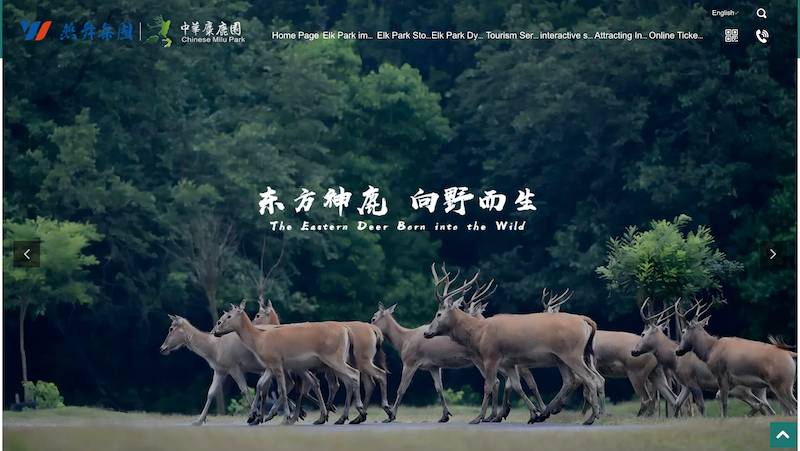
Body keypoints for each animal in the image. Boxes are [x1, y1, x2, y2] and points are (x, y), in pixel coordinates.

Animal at [211, 300, 367, 425]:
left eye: (229, 316)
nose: (216, 329)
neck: (259, 340)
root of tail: (346, 331)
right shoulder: (270, 365)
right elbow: (260, 384)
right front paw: (253, 417)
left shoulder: (277, 362)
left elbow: (283, 388)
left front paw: (284, 418)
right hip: (334, 361)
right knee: (346, 381)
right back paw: (339, 417)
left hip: (333, 358)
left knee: (353, 374)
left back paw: (359, 412)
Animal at [250, 299, 393, 423]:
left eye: (258, 315)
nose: (253, 325)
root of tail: (375, 331)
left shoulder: (296, 369)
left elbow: (298, 389)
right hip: (355, 364)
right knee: (366, 383)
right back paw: (355, 416)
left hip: (360, 362)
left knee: (377, 376)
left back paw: (383, 411)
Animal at [424, 263, 604, 425]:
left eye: (438, 314)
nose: (426, 332)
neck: (479, 333)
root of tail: (585, 321)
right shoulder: (509, 362)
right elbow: (517, 386)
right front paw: (532, 414)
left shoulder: (491, 357)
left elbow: (488, 385)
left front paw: (478, 418)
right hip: (562, 357)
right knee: (571, 380)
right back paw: (546, 414)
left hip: (572, 353)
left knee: (590, 378)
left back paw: (590, 418)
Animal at [631, 298, 773, 417]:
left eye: (642, 334)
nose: (633, 351)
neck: (675, 361)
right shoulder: (685, 385)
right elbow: (677, 403)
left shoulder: (693, 381)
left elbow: (701, 406)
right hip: (757, 389)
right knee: (767, 408)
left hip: (740, 388)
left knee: (758, 404)